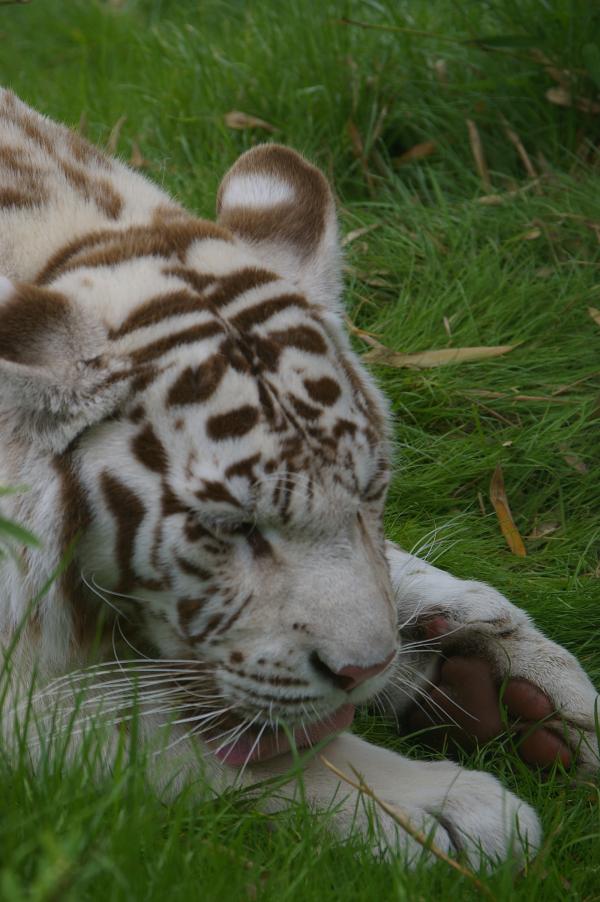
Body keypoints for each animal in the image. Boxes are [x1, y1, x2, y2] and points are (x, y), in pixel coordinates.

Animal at [0, 88, 598, 867]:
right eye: (231, 528)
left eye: (372, 492)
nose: (363, 673)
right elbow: (148, 727)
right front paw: (440, 807)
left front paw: (506, 668)